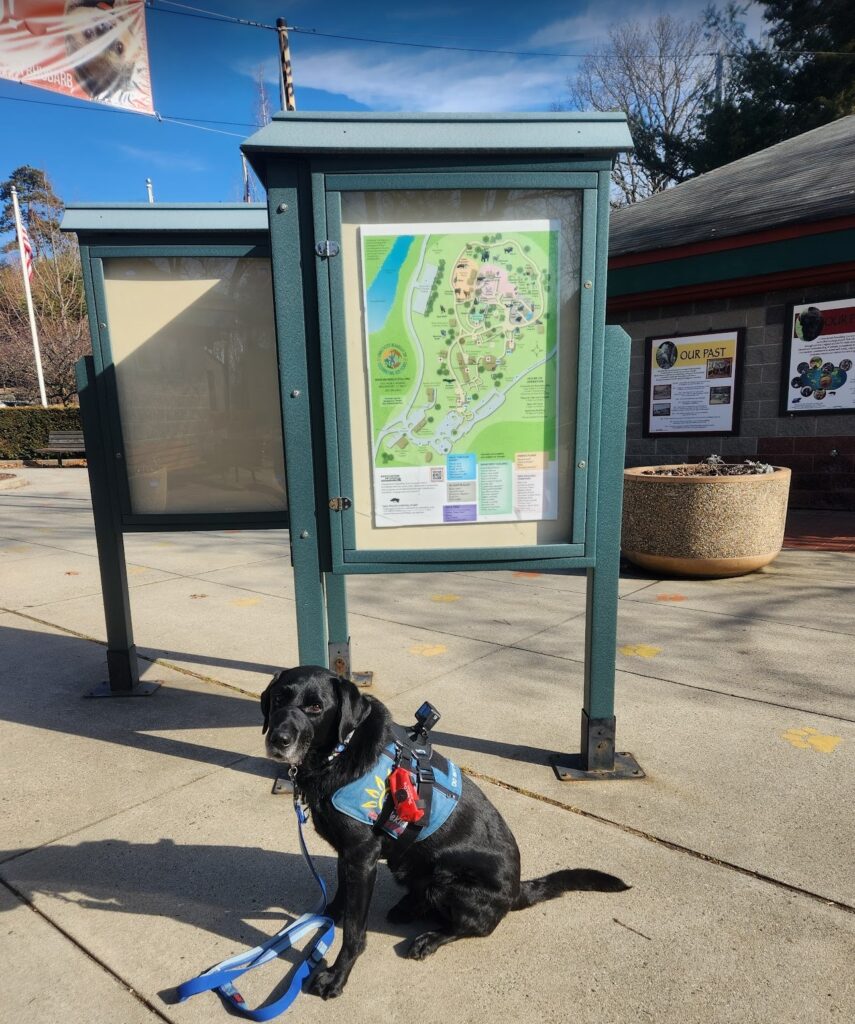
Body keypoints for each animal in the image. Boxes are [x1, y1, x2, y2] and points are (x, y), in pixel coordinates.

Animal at [264, 663, 630, 999]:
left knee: (472, 928)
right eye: (279, 698)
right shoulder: (349, 856)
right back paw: (408, 908)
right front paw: (326, 918)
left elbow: (355, 931)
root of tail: (517, 890)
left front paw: (337, 976)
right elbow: (342, 896)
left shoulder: (362, 858)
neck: (336, 754)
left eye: (315, 707)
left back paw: (429, 939)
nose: (277, 739)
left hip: (449, 882)